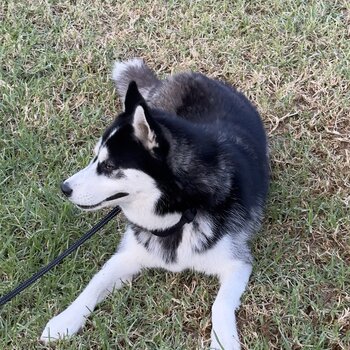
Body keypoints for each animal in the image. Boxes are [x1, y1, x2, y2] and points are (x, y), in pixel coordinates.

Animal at [41, 58, 270, 348]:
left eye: (109, 166)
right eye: (94, 159)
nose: (65, 188)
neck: (181, 214)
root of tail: (188, 76)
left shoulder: (237, 263)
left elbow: (219, 305)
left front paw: (223, 342)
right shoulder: (128, 254)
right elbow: (96, 280)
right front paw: (65, 321)